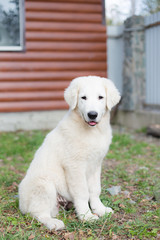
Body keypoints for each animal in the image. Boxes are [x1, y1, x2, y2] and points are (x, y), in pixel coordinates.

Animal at [18, 76, 120, 231]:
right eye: (83, 97)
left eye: (100, 97)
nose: (92, 114)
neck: (92, 132)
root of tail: (21, 205)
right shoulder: (75, 166)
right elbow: (83, 192)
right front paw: (86, 216)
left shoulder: (96, 164)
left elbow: (95, 189)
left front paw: (99, 209)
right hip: (43, 184)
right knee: (37, 213)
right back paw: (54, 223)